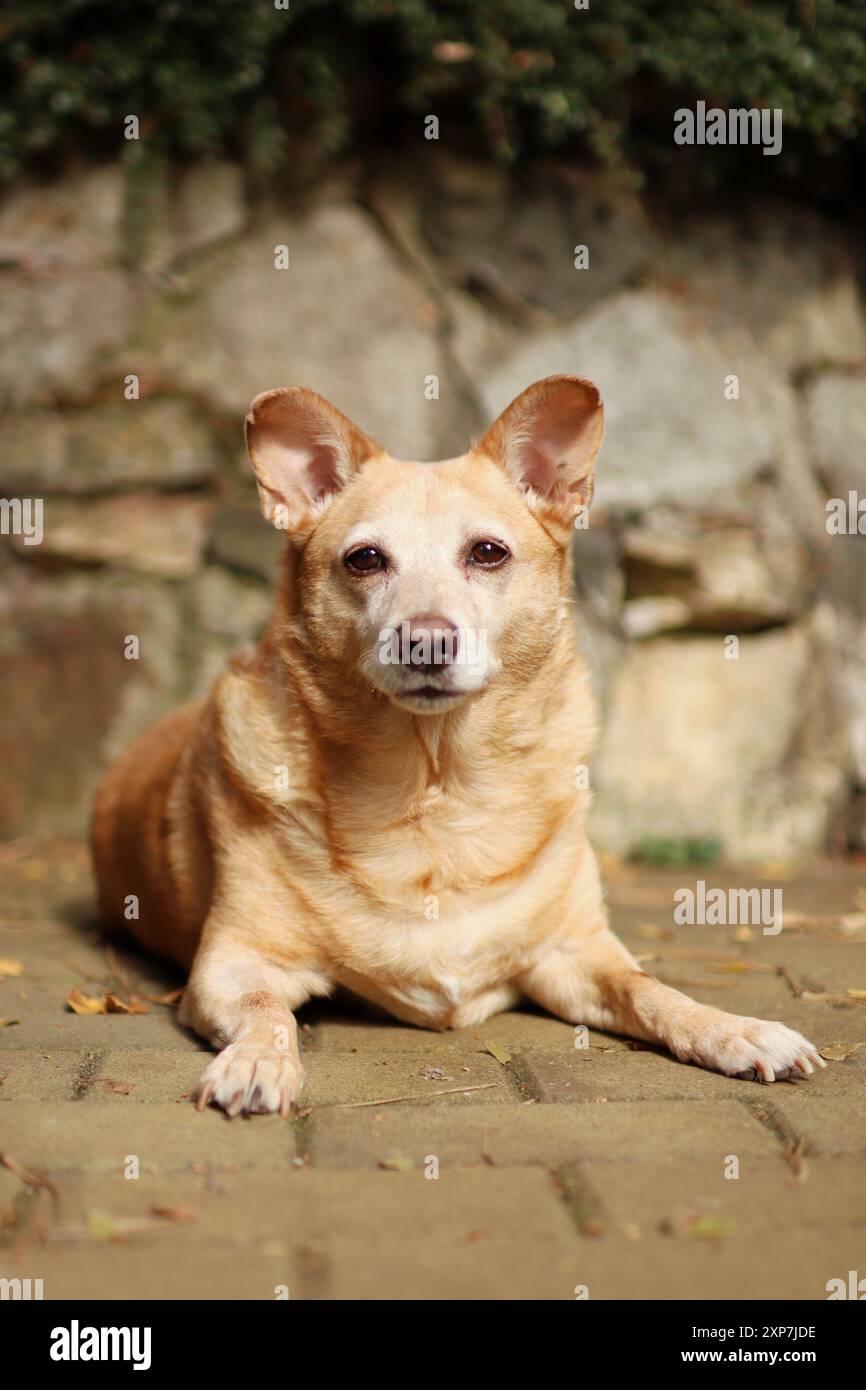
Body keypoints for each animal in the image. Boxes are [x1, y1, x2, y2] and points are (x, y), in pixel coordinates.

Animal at [89, 375, 828, 1112]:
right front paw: (256, 1061)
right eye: (365, 560)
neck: (436, 786)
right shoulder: (234, 963)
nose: (426, 640)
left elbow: (650, 988)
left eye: (488, 553)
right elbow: (268, 1012)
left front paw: (733, 1029)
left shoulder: (576, 954)